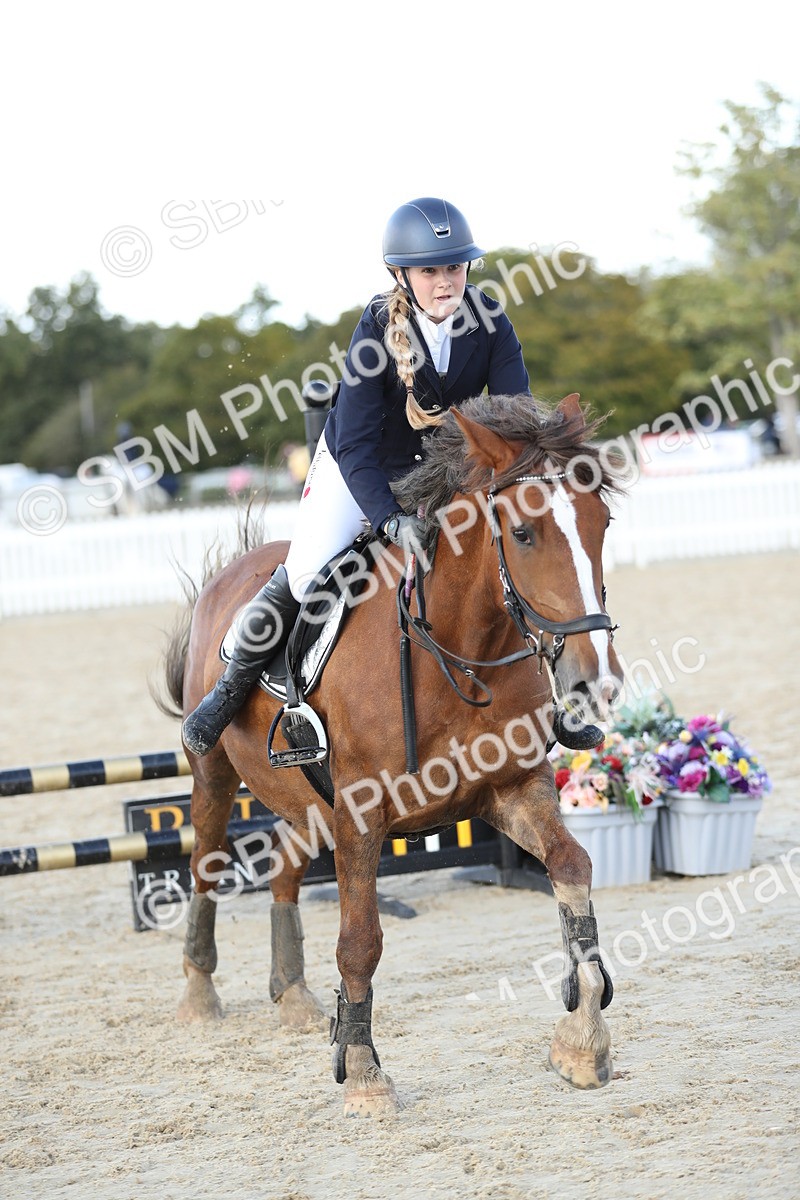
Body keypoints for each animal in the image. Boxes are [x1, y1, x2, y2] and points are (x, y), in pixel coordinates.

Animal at [161, 392, 624, 1116]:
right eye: (524, 534)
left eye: (602, 523)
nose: (593, 680)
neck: (462, 648)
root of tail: (234, 571)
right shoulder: (360, 813)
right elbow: (360, 941)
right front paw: (363, 1075)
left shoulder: (511, 788)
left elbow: (571, 866)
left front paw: (583, 1041)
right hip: (213, 772)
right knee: (206, 865)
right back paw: (200, 994)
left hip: (306, 801)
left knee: (284, 870)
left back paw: (293, 996)